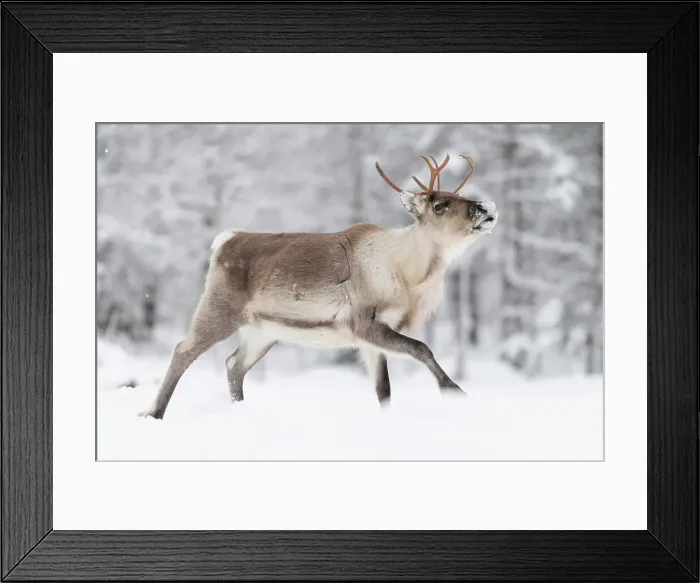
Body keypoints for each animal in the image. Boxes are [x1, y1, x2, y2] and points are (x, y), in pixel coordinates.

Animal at [139, 154, 498, 419]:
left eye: (460, 195)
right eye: (439, 205)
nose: (486, 208)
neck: (412, 274)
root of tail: (224, 241)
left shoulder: (371, 337)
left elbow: (383, 390)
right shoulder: (363, 323)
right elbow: (422, 348)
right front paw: (454, 390)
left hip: (264, 330)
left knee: (234, 365)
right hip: (219, 309)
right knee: (183, 349)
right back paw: (154, 413)